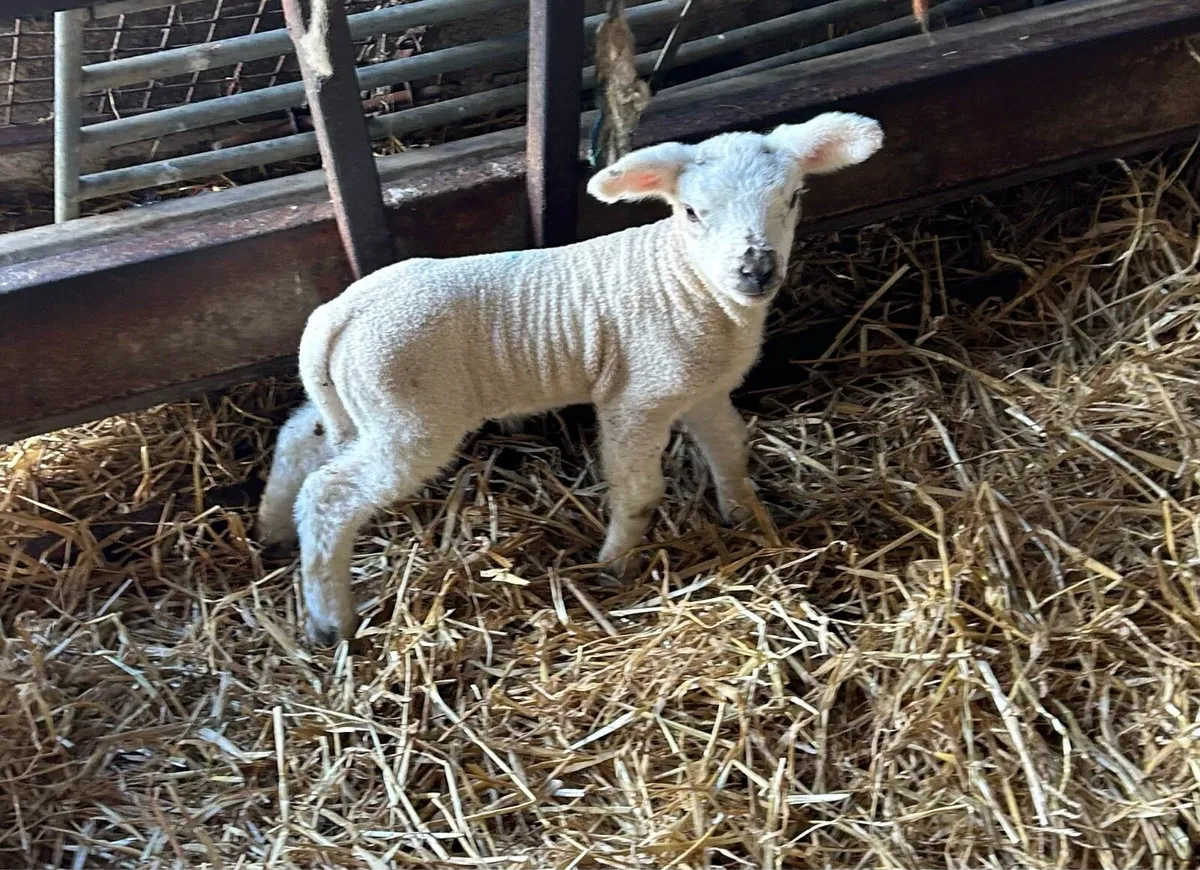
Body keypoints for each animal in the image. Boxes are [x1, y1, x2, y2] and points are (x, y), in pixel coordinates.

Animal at [257, 111, 884, 644]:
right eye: (691, 212)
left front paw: (744, 516)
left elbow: (730, 448)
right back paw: (330, 619)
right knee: (329, 494)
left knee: (299, 438)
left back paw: (273, 529)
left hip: (360, 403)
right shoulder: (638, 397)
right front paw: (615, 567)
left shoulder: (702, 390)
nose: (756, 271)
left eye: (793, 197)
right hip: (408, 417)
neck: (687, 282)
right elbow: (640, 493)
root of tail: (339, 314)